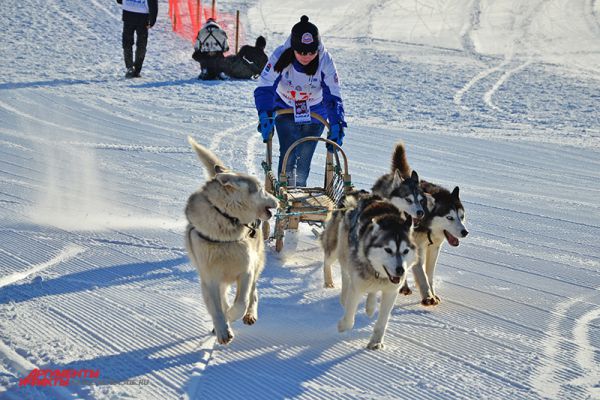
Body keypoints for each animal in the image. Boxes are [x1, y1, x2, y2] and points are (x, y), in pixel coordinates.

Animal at [184, 137, 278, 344]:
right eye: (261, 189)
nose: (278, 199)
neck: (226, 221)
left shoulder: (246, 271)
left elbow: (241, 302)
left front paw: (232, 317)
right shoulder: (209, 279)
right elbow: (217, 308)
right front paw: (222, 329)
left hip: (256, 263)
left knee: (253, 294)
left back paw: (250, 314)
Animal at [328, 194, 418, 350]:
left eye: (406, 251)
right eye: (388, 250)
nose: (401, 270)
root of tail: (367, 196)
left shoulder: (391, 292)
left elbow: (383, 321)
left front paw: (376, 341)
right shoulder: (357, 287)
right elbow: (350, 319)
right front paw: (342, 325)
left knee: (372, 290)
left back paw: (370, 306)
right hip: (343, 255)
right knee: (346, 276)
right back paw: (344, 297)